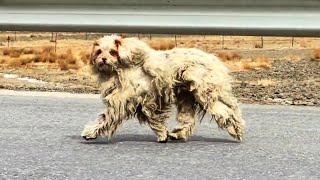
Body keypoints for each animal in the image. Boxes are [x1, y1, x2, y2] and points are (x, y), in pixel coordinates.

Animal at [80, 34, 245, 142]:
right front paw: (163, 134)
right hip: (187, 96)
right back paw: (178, 134)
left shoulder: (126, 100)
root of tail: (214, 60)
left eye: (113, 52)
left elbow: (106, 118)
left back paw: (237, 130)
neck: (122, 68)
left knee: (227, 113)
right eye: (99, 51)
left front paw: (90, 132)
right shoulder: (145, 102)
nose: (103, 59)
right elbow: (153, 119)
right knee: (189, 120)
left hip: (206, 94)